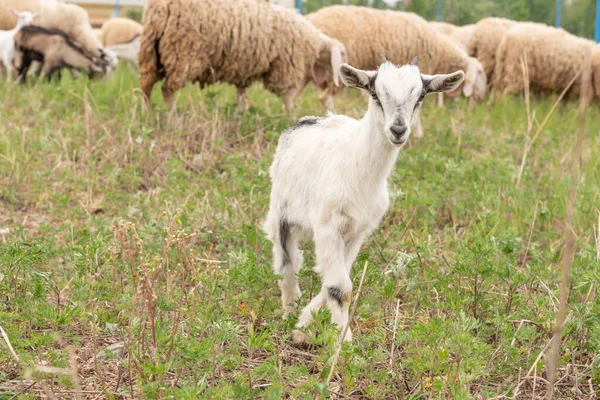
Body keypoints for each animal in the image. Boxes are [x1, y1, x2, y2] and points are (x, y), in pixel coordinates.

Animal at [139, 0, 346, 111]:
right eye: (343, 54)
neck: (313, 42)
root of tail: (161, 7)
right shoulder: (285, 67)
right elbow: (288, 98)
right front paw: (290, 117)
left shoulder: (245, 68)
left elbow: (241, 93)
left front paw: (240, 113)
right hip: (182, 53)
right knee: (167, 90)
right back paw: (173, 119)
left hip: (151, 51)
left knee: (146, 87)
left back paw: (147, 115)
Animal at [262, 57, 464, 344]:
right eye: (375, 94)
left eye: (421, 96)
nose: (398, 129)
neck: (359, 166)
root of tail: (305, 121)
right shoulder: (327, 226)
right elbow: (339, 287)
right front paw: (341, 341)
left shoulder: (358, 231)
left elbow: (338, 282)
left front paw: (306, 324)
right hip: (281, 211)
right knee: (287, 262)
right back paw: (289, 309)